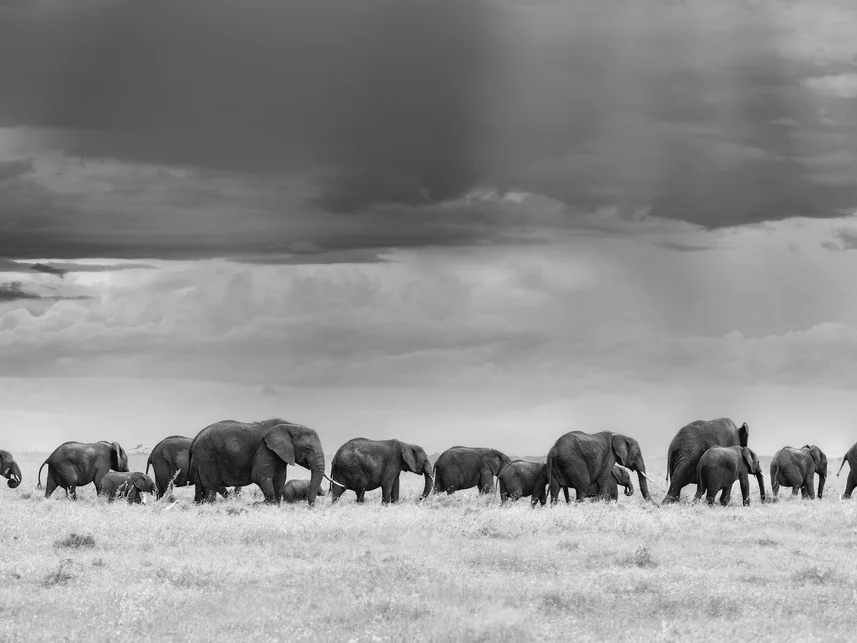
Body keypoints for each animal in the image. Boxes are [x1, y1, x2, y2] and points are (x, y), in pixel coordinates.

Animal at [189, 418, 336, 505]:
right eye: (307, 449)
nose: (310, 506)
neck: (291, 425)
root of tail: (196, 438)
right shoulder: (265, 447)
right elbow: (259, 475)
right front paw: (263, 504)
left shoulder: (279, 454)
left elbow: (280, 478)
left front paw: (275, 505)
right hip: (207, 456)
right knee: (210, 488)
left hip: (201, 458)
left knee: (200, 486)